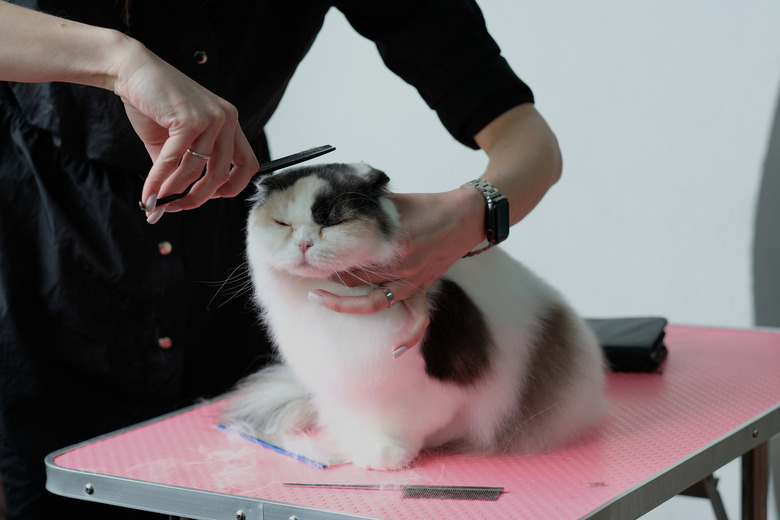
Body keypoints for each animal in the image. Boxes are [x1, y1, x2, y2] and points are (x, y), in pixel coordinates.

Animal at [222, 164, 608, 472]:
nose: (303, 244)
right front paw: (360, 445)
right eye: (283, 224)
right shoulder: (343, 380)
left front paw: (388, 454)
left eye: (333, 222)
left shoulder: (428, 383)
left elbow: (409, 423)